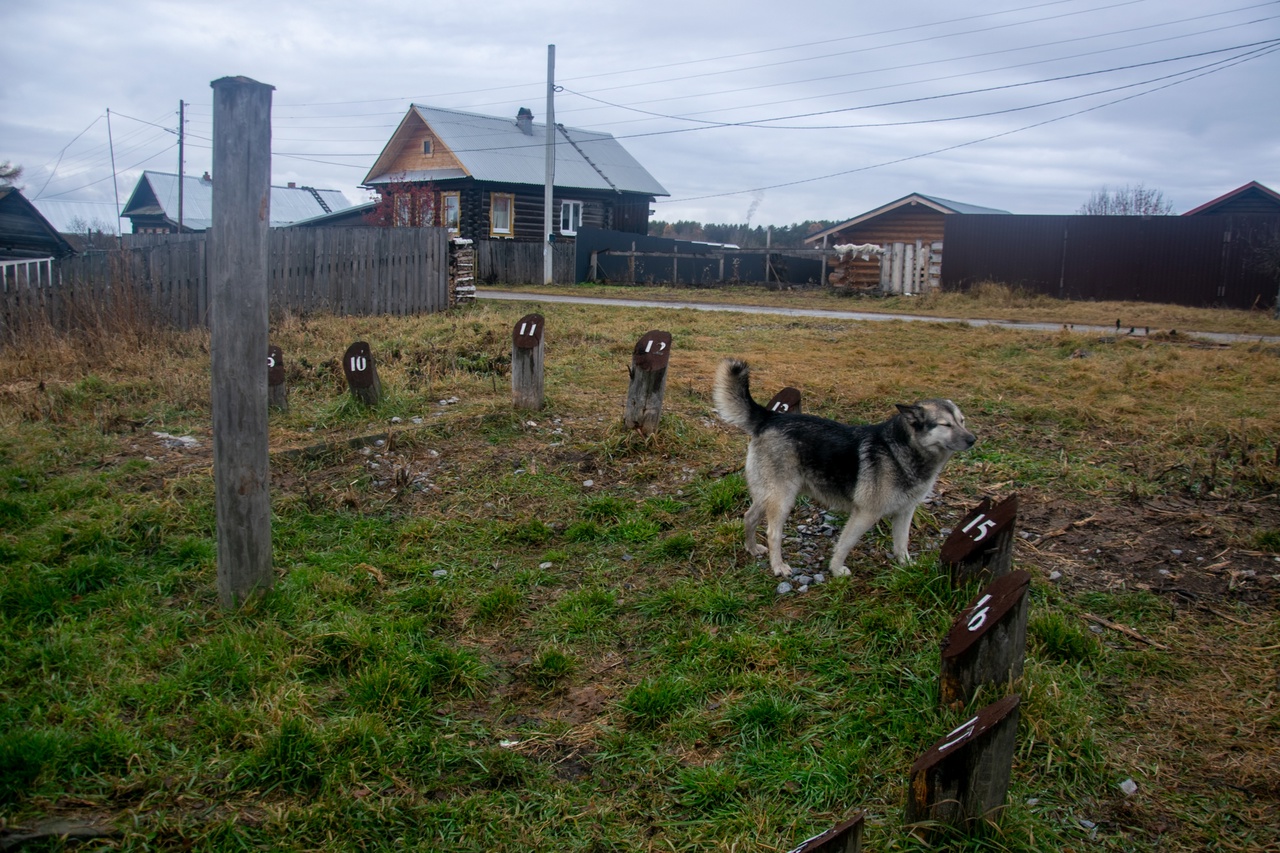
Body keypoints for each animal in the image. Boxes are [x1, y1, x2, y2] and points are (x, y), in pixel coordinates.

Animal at [716, 356, 972, 573]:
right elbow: (845, 544)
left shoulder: (905, 512)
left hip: (768, 494)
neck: (901, 451)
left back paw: (751, 548)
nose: (973, 439)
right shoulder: (865, 514)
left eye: (962, 421)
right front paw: (836, 571)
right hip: (783, 498)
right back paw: (778, 566)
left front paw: (907, 565)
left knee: (749, 517)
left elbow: (901, 543)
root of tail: (771, 416)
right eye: (945, 425)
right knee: (773, 533)